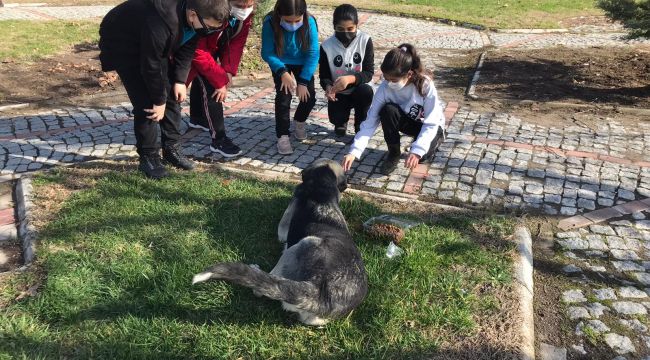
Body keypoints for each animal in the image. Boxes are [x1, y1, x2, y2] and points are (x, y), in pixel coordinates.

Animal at [190, 159, 368, 324]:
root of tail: (321, 294)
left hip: (303, 244)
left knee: (265, 285)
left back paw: (255, 269)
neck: (322, 188)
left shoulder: (285, 223)